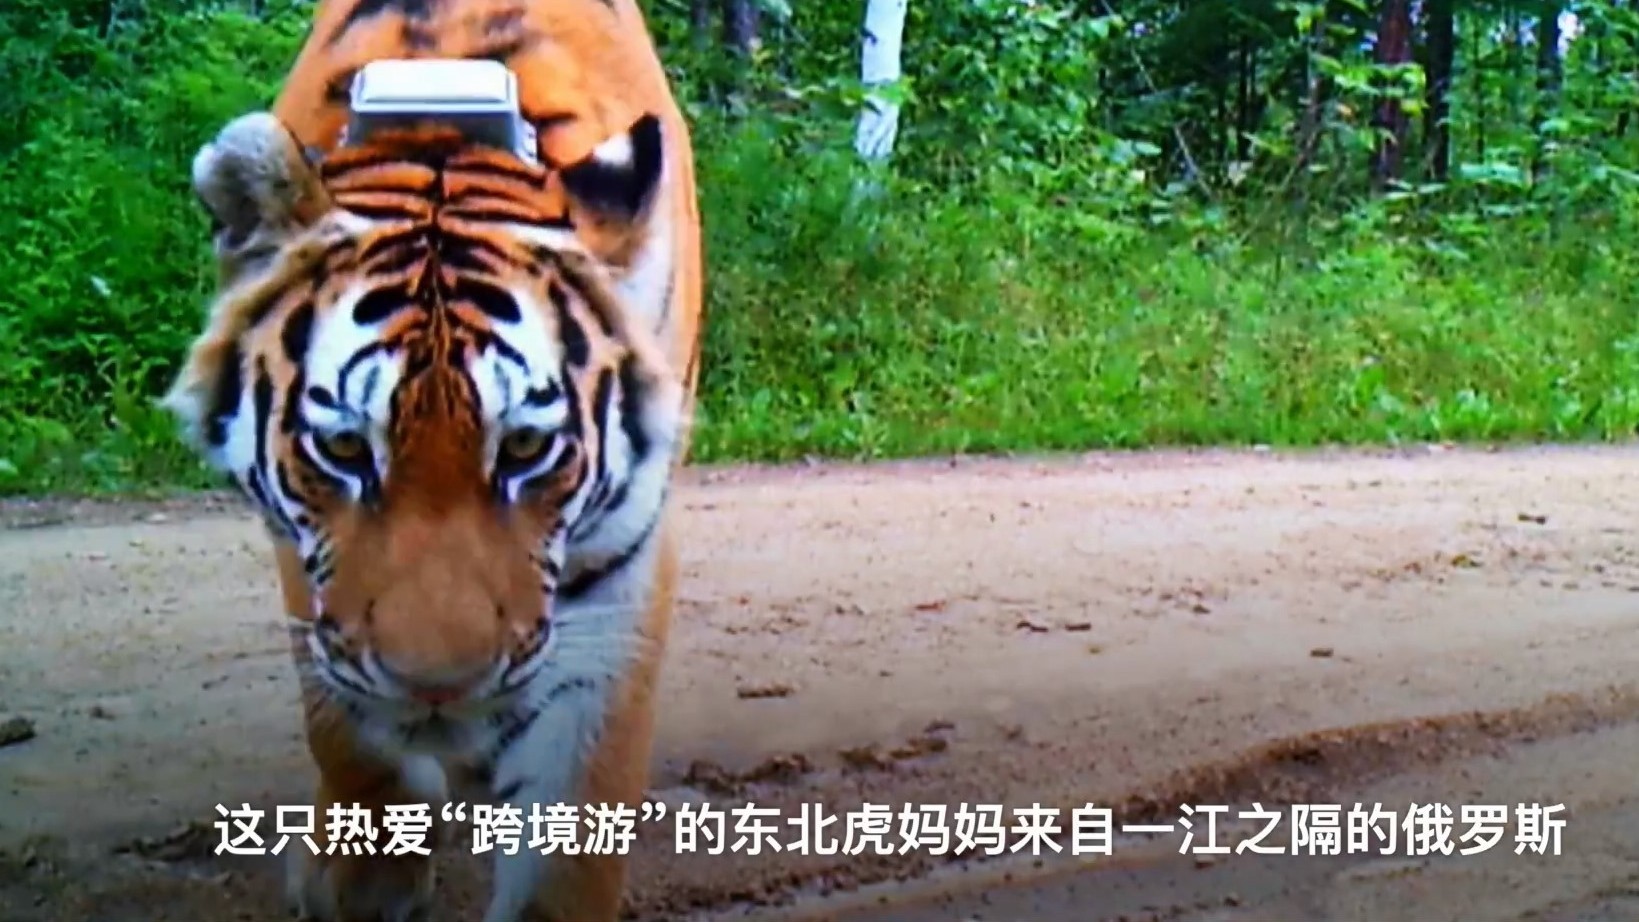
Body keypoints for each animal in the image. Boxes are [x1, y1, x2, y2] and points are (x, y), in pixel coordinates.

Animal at [160, 1, 702, 920]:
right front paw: (361, 875)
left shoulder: (620, 567)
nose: (438, 687)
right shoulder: (299, 555)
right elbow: (343, 724)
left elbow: (570, 832)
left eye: (525, 447)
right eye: (344, 447)